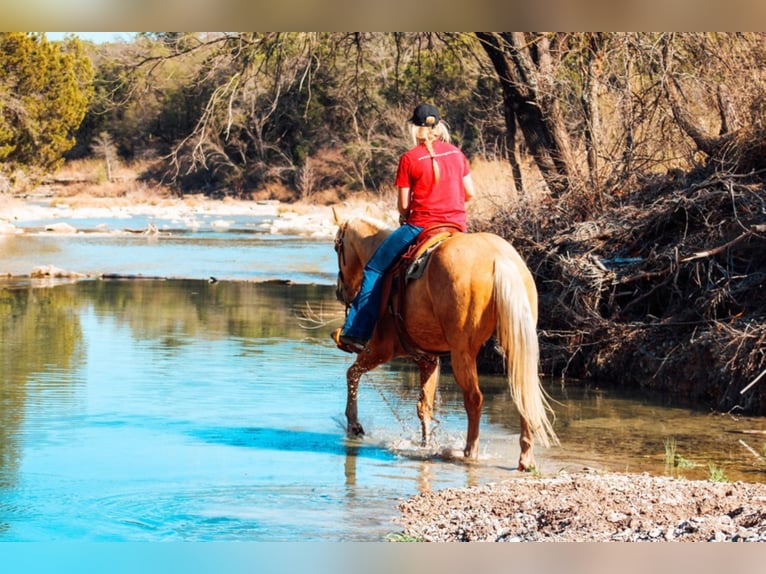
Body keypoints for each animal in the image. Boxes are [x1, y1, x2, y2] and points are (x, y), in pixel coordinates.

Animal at [332, 216, 560, 472]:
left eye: (337, 247)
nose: (340, 291)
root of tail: (499, 258)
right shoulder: (428, 359)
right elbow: (424, 406)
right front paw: (425, 444)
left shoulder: (381, 349)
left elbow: (352, 374)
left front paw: (354, 425)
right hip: (516, 344)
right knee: (522, 393)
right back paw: (525, 458)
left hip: (462, 352)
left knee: (474, 398)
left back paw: (470, 451)